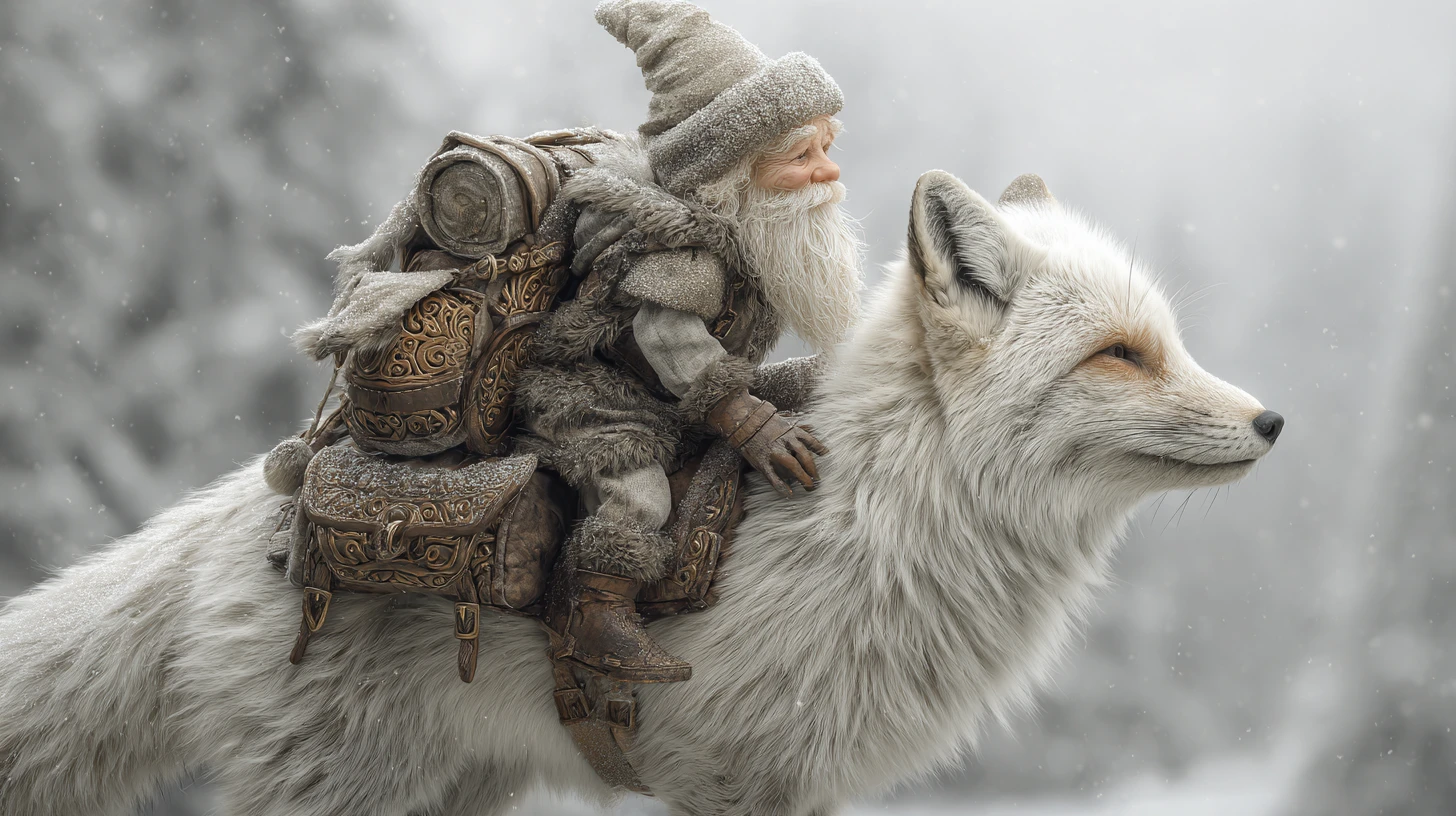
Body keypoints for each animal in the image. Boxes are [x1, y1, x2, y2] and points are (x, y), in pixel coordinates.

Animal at [0, 169, 1281, 816]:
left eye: (1166, 344)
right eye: (1119, 356)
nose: (1272, 422)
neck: (875, 525)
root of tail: (243, 505)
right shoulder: (732, 782)